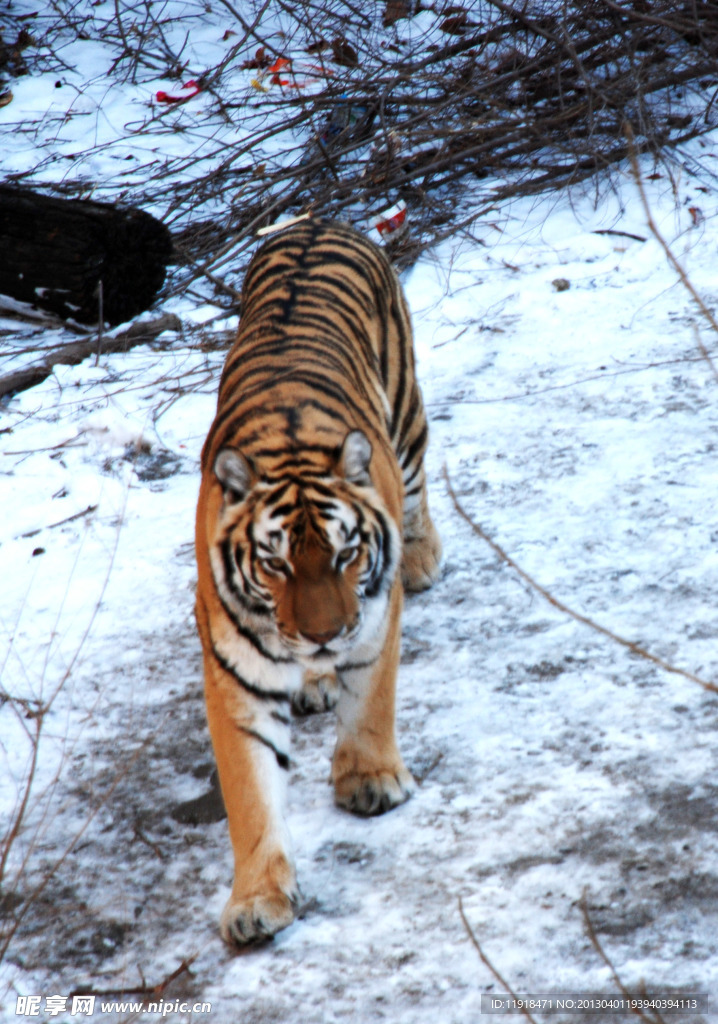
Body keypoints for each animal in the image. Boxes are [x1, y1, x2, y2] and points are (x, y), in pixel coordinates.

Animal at [193, 216, 440, 942]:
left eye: (346, 552)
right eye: (275, 562)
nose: (326, 634)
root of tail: (314, 219)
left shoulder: (374, 616)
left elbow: (371, 700)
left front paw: (372, 781)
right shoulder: (236, 669)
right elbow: (250, 790)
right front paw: (256, 901)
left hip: (407, 418)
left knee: (421, 487)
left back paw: (423, 557)